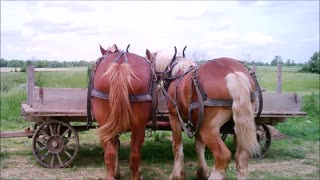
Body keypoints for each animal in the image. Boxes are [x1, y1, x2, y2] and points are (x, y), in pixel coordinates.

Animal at [146, 47, 262, 179]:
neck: (175, 72)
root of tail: (232, 72)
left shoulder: (174, 117)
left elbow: (177, 146)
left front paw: (177, 175)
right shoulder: (197, 122)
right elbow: (199, 147)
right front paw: (202, 173)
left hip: (209, 129)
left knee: (223, 156)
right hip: (240, 126)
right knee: (242, 156)